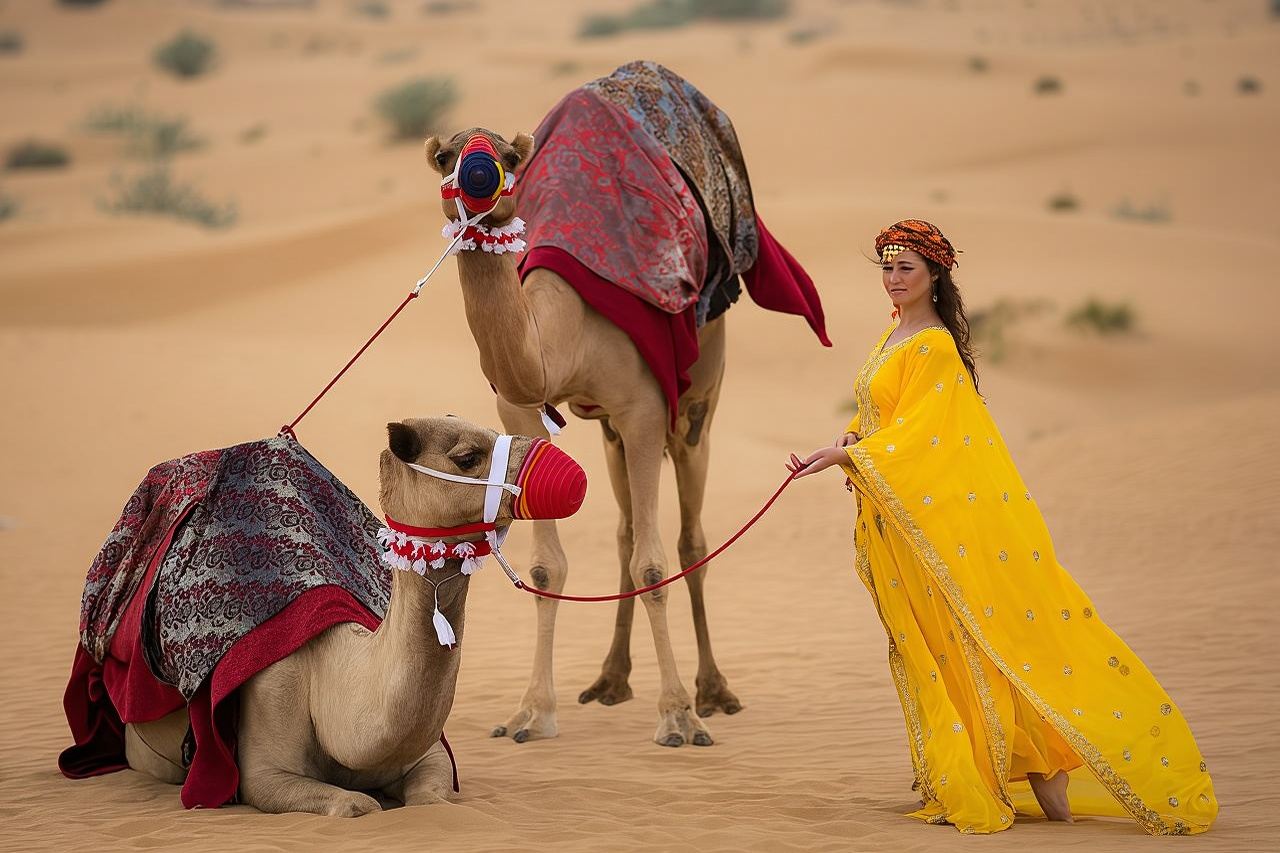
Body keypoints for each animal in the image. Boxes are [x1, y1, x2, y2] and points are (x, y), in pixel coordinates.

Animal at [124, 416, 568, 815]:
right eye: (467, 457)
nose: (563, 467)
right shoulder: (267, 754)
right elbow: (355, 805)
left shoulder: (428, 758)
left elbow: (432, 799)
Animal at [425, 129, 741, 749]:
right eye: (446, 156)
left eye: (509, 157)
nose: (479, 177)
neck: (566, 336)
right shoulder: (520, 411)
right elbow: (547, 567)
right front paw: (530, 713)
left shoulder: (644, 409)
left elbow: (653, 567)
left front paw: (678, 716)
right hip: (612, 435)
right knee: (625, 531)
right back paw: (610, 681)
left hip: (696, 404)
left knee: (689, 538)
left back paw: (714, 694)